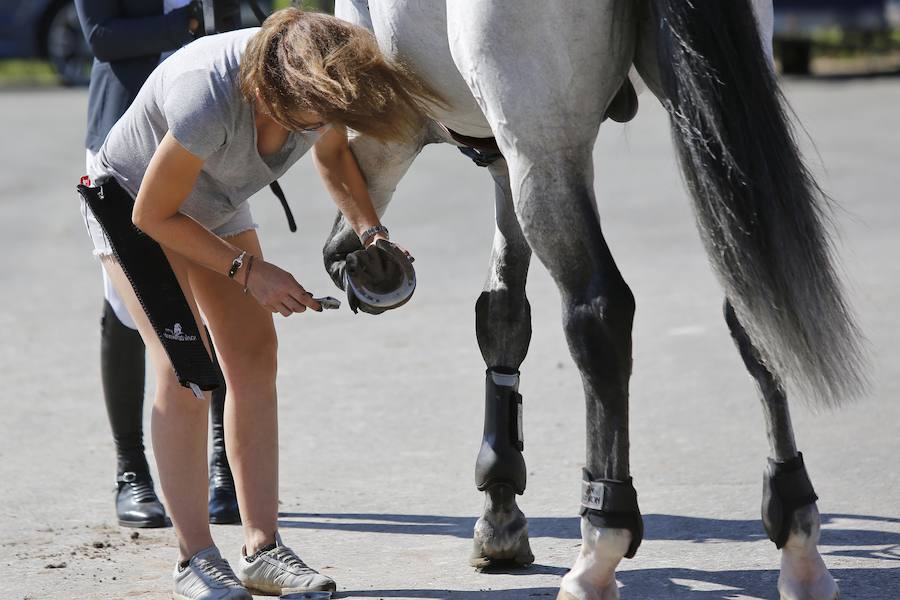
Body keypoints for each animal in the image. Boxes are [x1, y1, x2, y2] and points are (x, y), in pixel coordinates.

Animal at [322, 2, 864, 596]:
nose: (350, 261)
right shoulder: (501, 158)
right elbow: (504, 314)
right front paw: (502, 510)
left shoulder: (406, 124)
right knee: (751, 307)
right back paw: (798, 541)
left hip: (543, 143)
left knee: (599, 313)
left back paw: (600, 545)